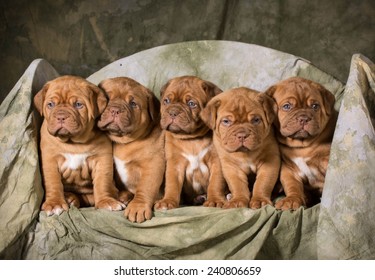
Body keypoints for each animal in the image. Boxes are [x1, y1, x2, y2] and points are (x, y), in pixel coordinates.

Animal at [33, 74, 125, 214]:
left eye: (78, 104)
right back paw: (70, 198)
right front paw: (55, 204)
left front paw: (106, 201)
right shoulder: (49, 161)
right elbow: (53, 183)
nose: (61, 117)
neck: (73, 142)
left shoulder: (102, 159)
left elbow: (102, 182)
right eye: (50, 104)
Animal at [97, 76, 165, 223]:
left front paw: (138, 207)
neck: (124, 142)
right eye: (107, 98)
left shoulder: (153, 164)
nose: (115, 110)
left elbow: (145, 187)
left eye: (133, 104)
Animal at [153, 75, 226, 209]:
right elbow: (172, 185)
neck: (191, 139)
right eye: (167, 101)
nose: (173, 112)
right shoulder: (174, 164)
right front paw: (168, 201)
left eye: (192, 104)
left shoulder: (216, 161)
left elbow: (215, 183)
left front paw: (215, 200)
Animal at [266, 76, 340, 210]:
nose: (304, 118)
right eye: (287, 106)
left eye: (315, 106)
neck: (302, 146)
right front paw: (292, 200)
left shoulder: (326, 161)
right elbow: (292, 186)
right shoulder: (289, 169)